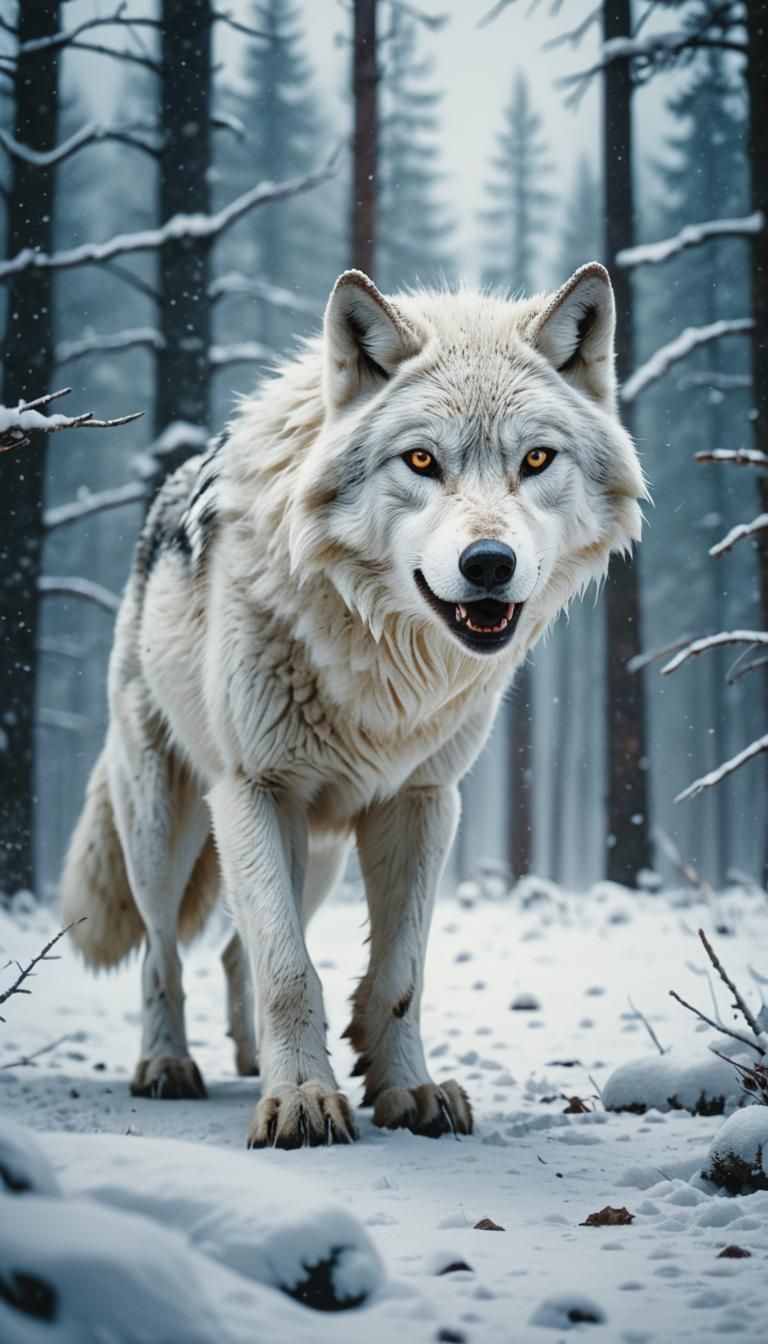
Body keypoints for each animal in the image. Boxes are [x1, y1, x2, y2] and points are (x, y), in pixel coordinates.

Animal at [61, 264, 645, 1148]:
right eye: (422, 460)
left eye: (537, 459)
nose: (489, 563)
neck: (383, 664)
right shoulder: (254, 790)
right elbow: (290, 970)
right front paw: (302, 1100)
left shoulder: (423, 800)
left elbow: (397, 974)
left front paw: (408, 1090)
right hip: (168, 825)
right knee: (166, 951)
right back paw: (168, 1066)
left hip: (321, 853)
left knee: (233, 949)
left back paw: (246, 1061)